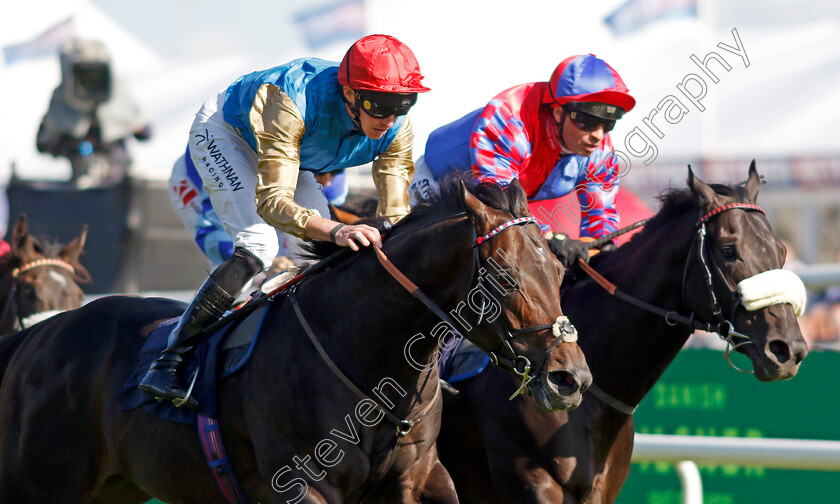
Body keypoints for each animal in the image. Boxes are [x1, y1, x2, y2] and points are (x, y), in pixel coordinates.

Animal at [0, 177, 592, 504]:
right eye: (506, 278)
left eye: (561, 271)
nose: (571, 378)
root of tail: (41, 335)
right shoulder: (302, 486)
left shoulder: (420, 478)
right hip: (45, 484)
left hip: (114, 486)